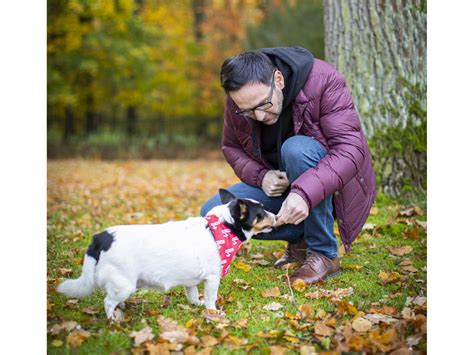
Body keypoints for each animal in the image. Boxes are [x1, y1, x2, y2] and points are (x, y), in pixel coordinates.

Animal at [57, 191, 276, 322]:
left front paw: (197, 305)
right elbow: (211, 299)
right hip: (125, 284)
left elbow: (193, 295)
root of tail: (101, 237)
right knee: (108, 302)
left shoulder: (191, 281)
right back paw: (114, 320)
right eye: (262, 211)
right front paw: (212, 312)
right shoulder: (213, 278)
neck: (222, 226)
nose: (276, 216)